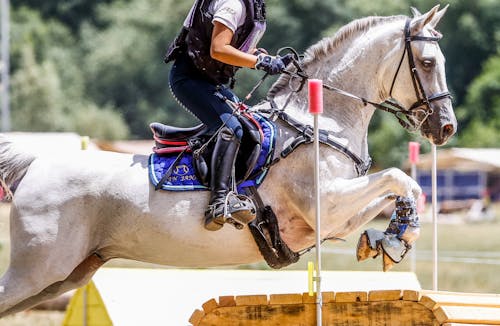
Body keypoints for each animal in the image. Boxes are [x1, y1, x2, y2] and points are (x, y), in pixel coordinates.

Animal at [0, 5, 456, 316]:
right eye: (427, 63)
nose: (446, 127)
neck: (322, 120)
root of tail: (34, 164)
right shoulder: (324, 204)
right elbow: (398, 177)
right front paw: (397, 236)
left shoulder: (334, 219)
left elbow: (394, 193)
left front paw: (390, 237)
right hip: (39, 267)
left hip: (67, 273)